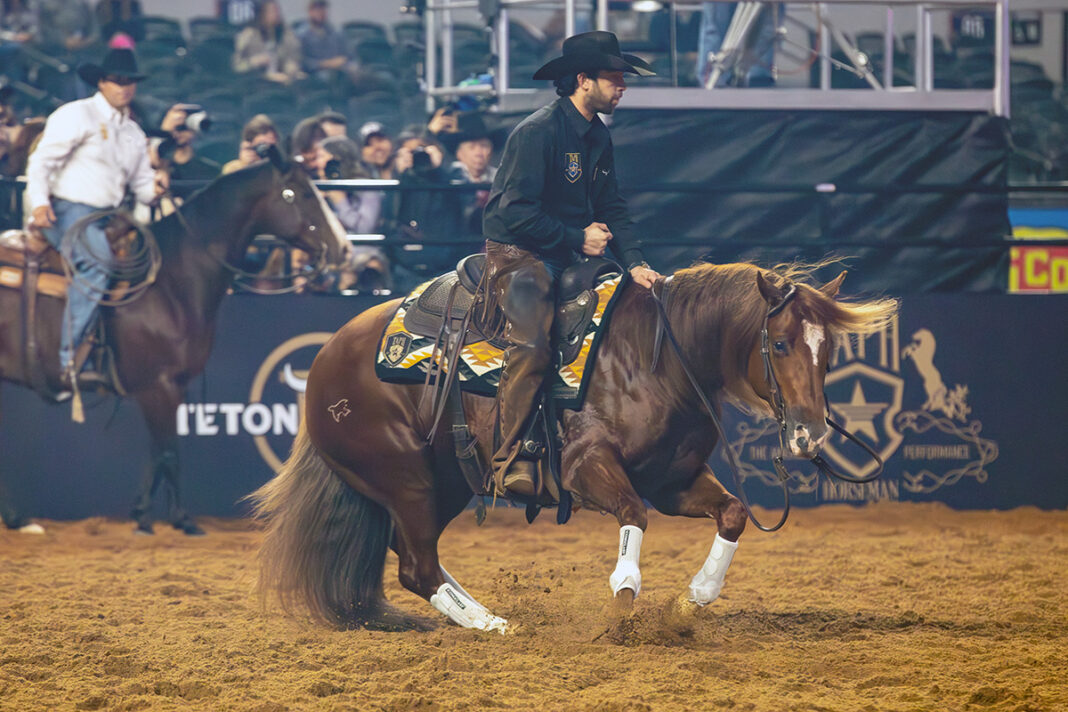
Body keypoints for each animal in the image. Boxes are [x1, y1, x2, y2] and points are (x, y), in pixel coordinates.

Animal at [0, 152, 349, 534]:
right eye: (298, 194)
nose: (344, 247)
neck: (169, 281)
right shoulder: (159, 385)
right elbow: (169, 452)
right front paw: (182, 520)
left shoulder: (172, 386)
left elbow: (158, 451)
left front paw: (141, 514)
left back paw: (16, 518)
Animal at [250, 261, 897, 632]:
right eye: (781, 344)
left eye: (829, 349)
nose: (810, 434)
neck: (658, 359)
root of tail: (327, 357)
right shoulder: (587, 468)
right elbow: (633, 513)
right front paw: (624, 597)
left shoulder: (674, 479)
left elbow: (734, 513)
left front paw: (692, 601)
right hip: (406, 479)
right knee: (417, 565)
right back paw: (494, 625)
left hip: (446, 479)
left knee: (412, 557)